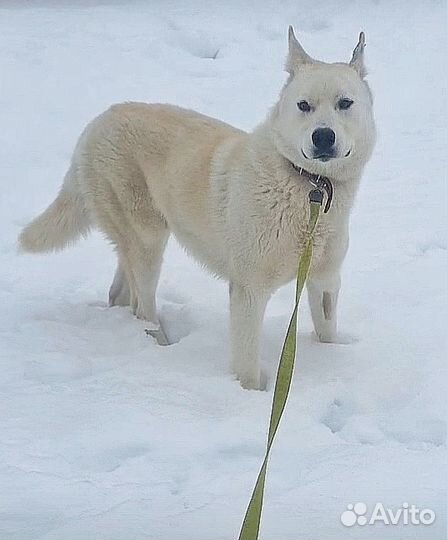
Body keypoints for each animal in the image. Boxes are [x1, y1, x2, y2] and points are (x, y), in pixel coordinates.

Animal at [20, 28, 378, 388]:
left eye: (345, 104)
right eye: (303, 106)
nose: (323, 137)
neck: (310, 186)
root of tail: (95, 124)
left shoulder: (325, 280)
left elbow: (327, 332)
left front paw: (331, 359)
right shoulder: (249, 291)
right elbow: (247, 366)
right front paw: (249, 395)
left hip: (135, 237)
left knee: (120, 292)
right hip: (148, 240)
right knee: (142, 305)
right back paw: (160, 344)